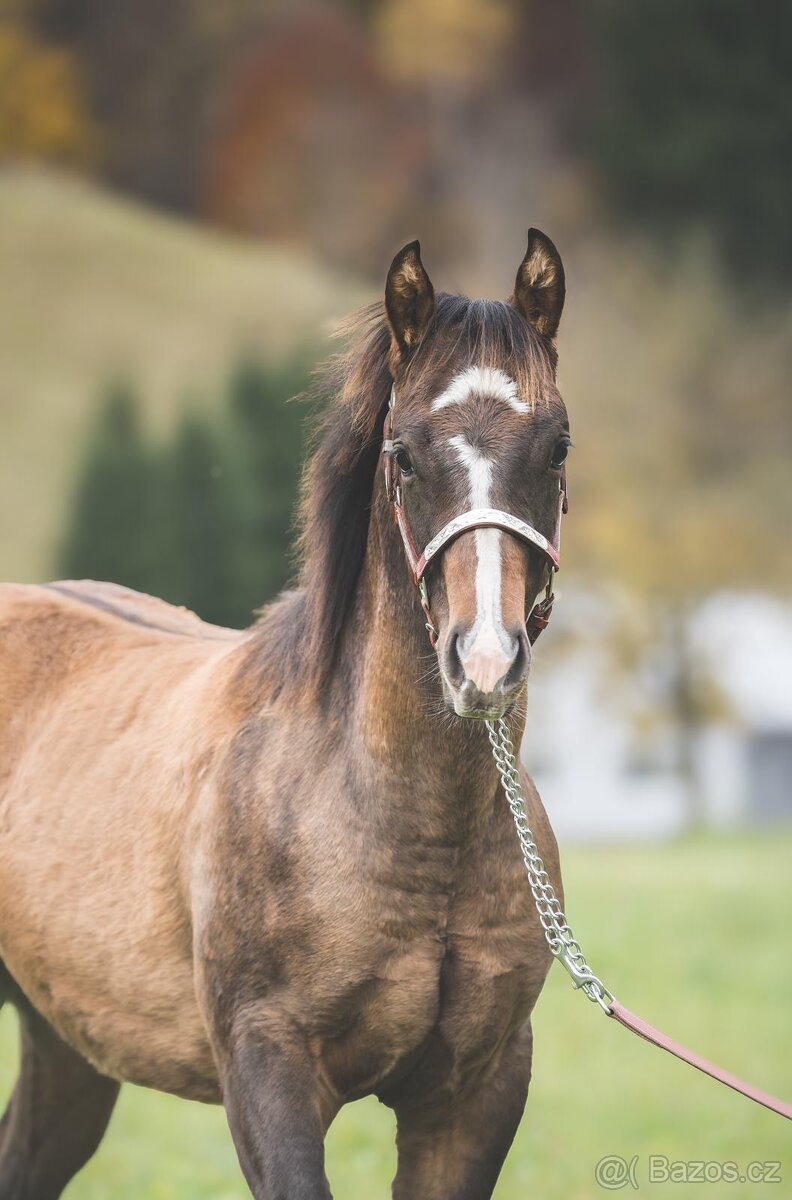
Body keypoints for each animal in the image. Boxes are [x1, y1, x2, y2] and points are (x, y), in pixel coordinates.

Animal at [0, 230, 570, 1200]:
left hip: (65, 1049)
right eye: (403, 453)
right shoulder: (269, 1070)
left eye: (558, 446)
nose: (486, 661)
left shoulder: (477, 1092)